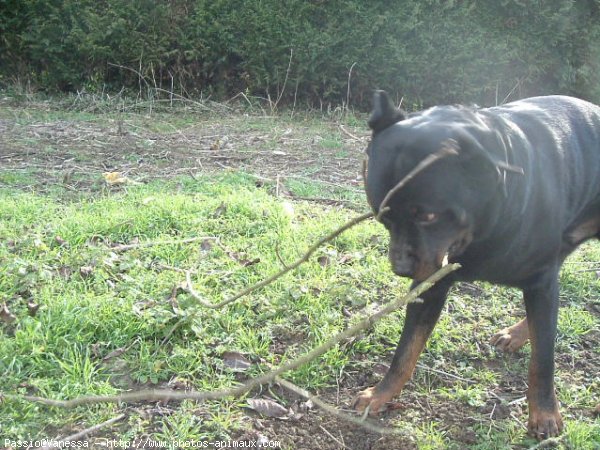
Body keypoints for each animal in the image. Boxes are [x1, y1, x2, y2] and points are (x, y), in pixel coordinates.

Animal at [356, 91, 600, 440]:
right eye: (382, 216)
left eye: (428, 215)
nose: (401, 269)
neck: (486, 225)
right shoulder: (432, 282)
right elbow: (406, 349)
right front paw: (380, 394)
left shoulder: (540, 279)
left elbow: (543, 358)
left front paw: (544, 414)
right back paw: (517, 333)